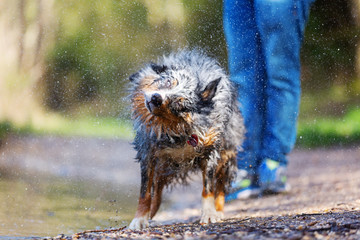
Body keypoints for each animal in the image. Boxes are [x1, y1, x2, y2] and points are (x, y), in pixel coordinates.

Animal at [127, 49, 245, 230]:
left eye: (179, 104)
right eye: (168, 82)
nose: (156, 98)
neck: (175, 131)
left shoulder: (210, 152)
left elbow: (208, 188)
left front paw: (209, 213)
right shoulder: (148, 153)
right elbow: (145, 192)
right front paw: (140, 219)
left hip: (226, 154)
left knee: (220, 186)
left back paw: (218, 211)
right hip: (164, 164)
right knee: (157, 191)